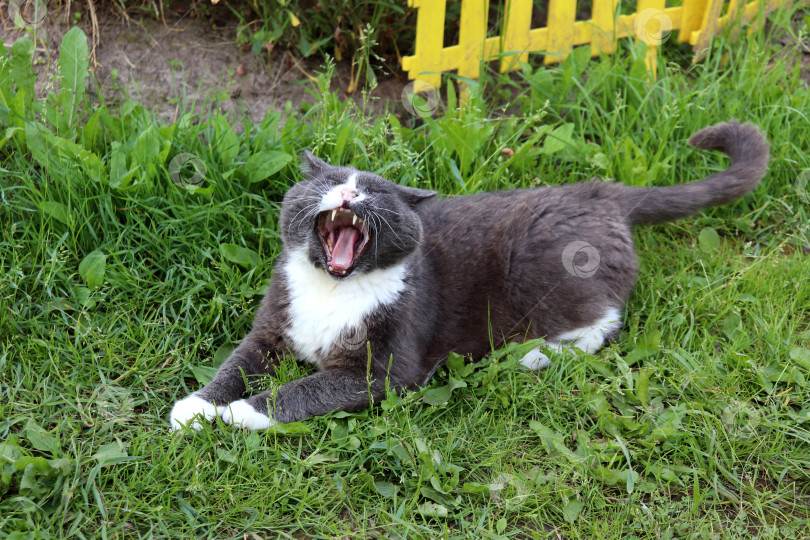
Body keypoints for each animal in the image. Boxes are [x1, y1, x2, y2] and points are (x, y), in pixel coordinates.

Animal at [169, 121, 764, 430]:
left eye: (377, 191)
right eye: (330, 182)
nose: (350, 194)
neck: (332, 289)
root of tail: (603, 192)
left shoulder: (382, 369)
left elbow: (298, 391)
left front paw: (233, 415)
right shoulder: (273, 326)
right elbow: (238, 363)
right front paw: (194, 408)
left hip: (539, 269)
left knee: (605, 320)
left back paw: (536, 355)